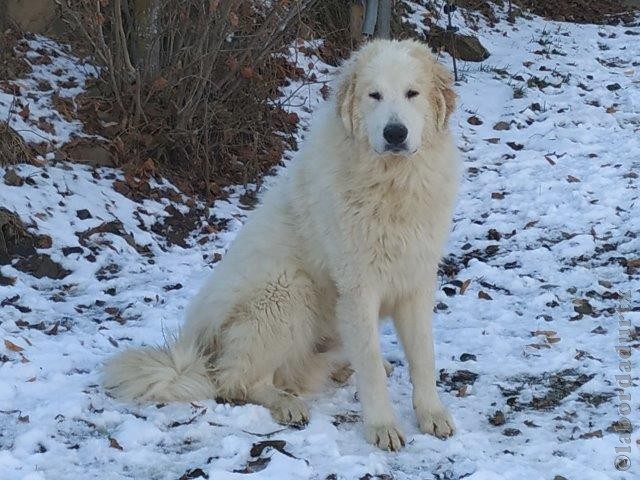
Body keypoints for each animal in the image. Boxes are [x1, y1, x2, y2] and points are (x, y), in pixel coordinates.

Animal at [107, 40, 462, 450]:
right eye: (374, 95)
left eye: (412, 94)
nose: (394, 133)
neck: (392, 184)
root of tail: (198, 354)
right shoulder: (357, 289)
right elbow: (371, 367)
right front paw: (382, 425)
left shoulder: (416, 281)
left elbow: (423, 357)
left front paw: (432, 414)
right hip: (288, 291)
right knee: (235, 380)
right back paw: (286, 404)